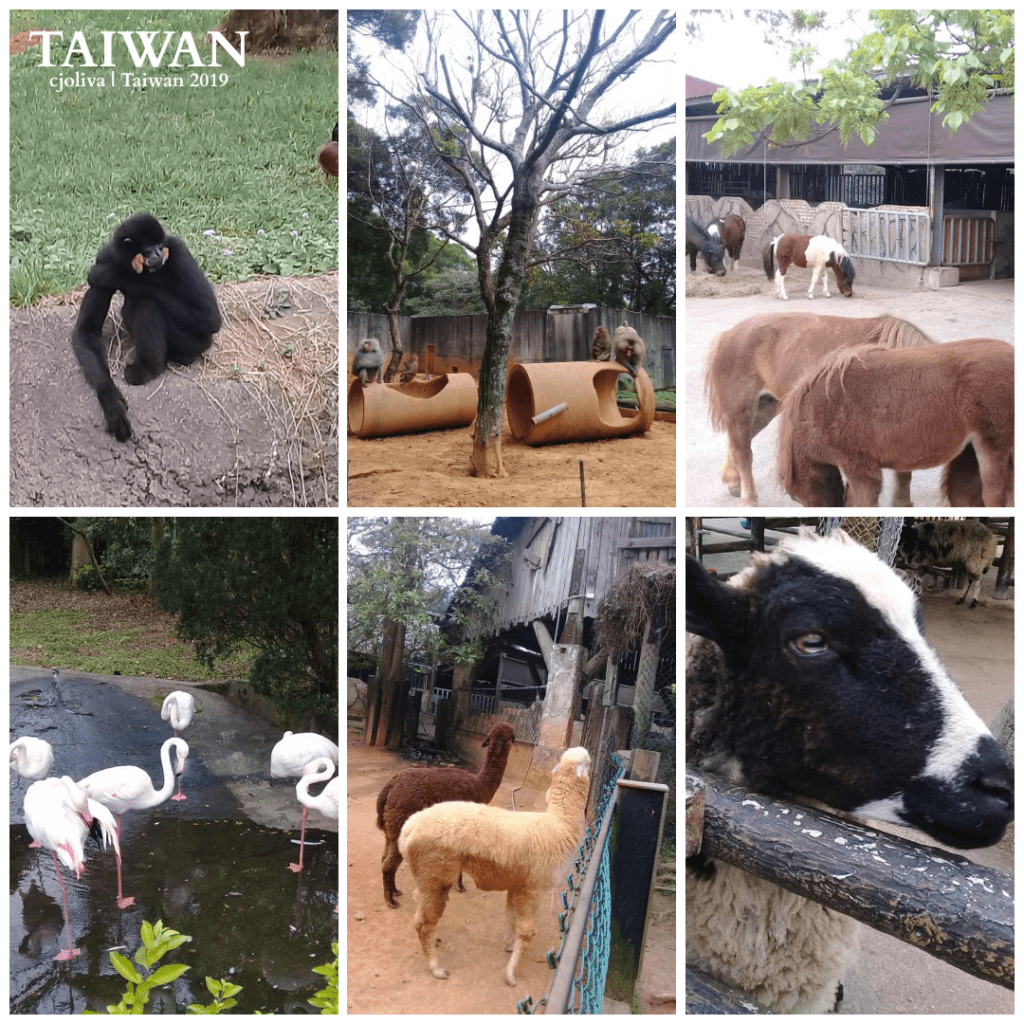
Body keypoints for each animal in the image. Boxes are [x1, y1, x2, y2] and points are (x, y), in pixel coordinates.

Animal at [703, 312, 936, 505]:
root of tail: (727, 335)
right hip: (740, 411)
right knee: (743, 453)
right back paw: (749, 500)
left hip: (765, 407)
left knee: (737, 443)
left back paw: (734, 482)